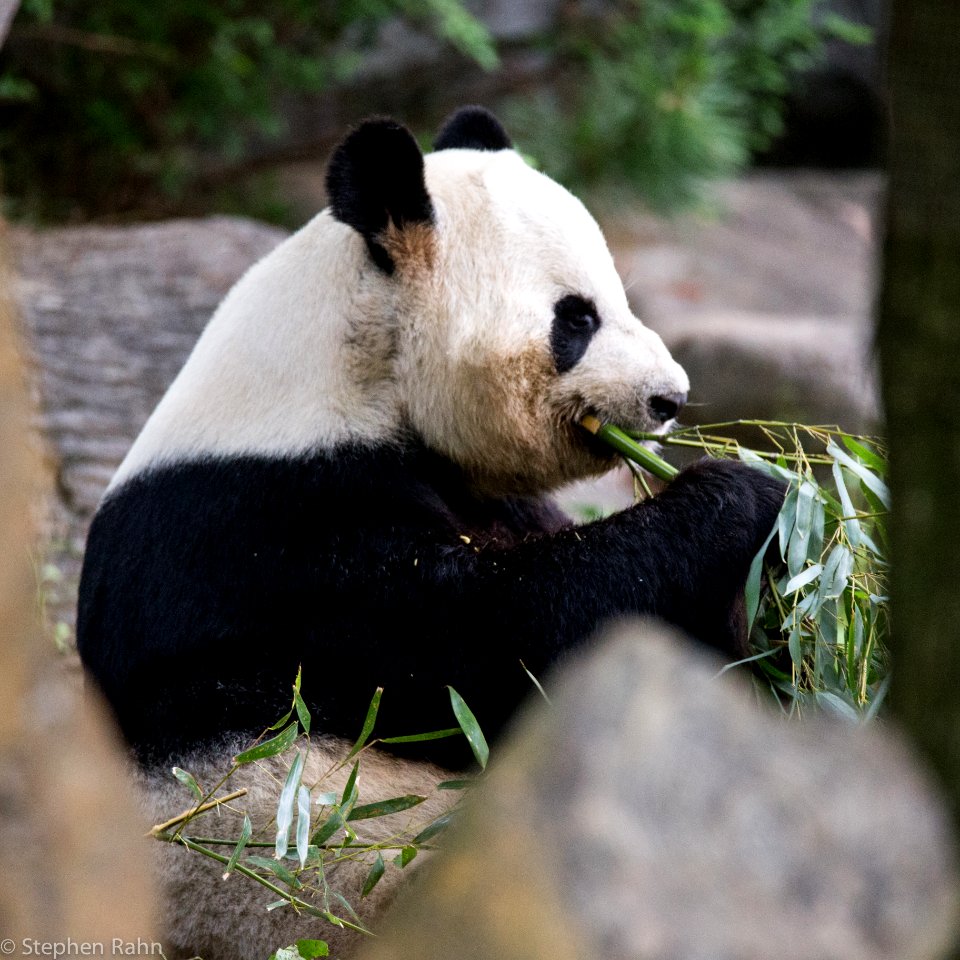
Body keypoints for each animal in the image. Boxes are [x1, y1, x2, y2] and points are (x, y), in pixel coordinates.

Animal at [73, 107, 780, 960]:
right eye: (576, 318)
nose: (668, 399)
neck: (352, 369)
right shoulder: (266, 535)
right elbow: (483, 646)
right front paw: (747, 495)